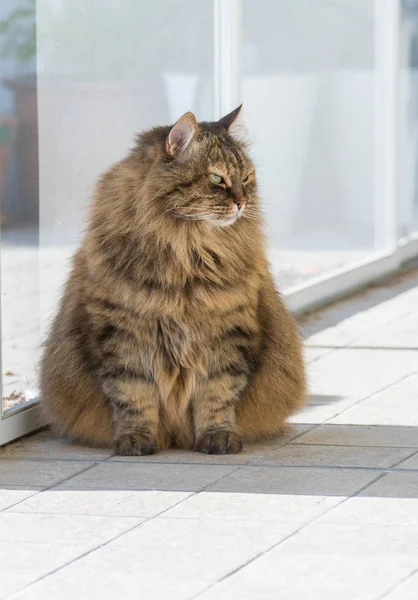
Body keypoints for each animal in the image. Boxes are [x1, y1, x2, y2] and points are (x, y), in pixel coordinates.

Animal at [40, 106, 306, 454]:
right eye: (217, 178)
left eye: (247, 178)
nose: (242, 202)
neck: (187, 251)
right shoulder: (122, 335)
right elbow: (132, 395)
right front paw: (135, 440)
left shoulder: (227, 332)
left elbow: (217, 394)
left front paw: (218, 437)